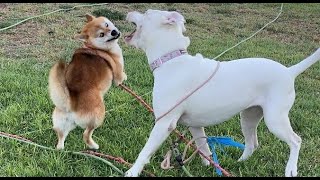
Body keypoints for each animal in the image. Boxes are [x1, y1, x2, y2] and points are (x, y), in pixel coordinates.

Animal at [48, 13, 127, 149]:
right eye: (101, 34)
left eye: (106, 24)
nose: (113, 32)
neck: (95, 47)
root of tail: (71, 102)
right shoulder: (117, 74)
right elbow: (120, 78)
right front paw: (125, 77)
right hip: (98, 115)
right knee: (86, 134)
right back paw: (94, 146)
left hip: (62, 124)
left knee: (61, 138)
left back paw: (61, 149)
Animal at [123, 9, 320, 176]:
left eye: (147, 13)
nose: (129, 12)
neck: (171, 60)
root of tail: (289, 71)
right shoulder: (195, 126)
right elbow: (203, 148)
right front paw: (209, 166)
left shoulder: (164, 123)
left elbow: (145, 151)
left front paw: (132, 171)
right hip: (248, 117)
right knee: (252, 144)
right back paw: (239, 163)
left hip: (275, 120)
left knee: (295, 141)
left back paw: (290, 169)